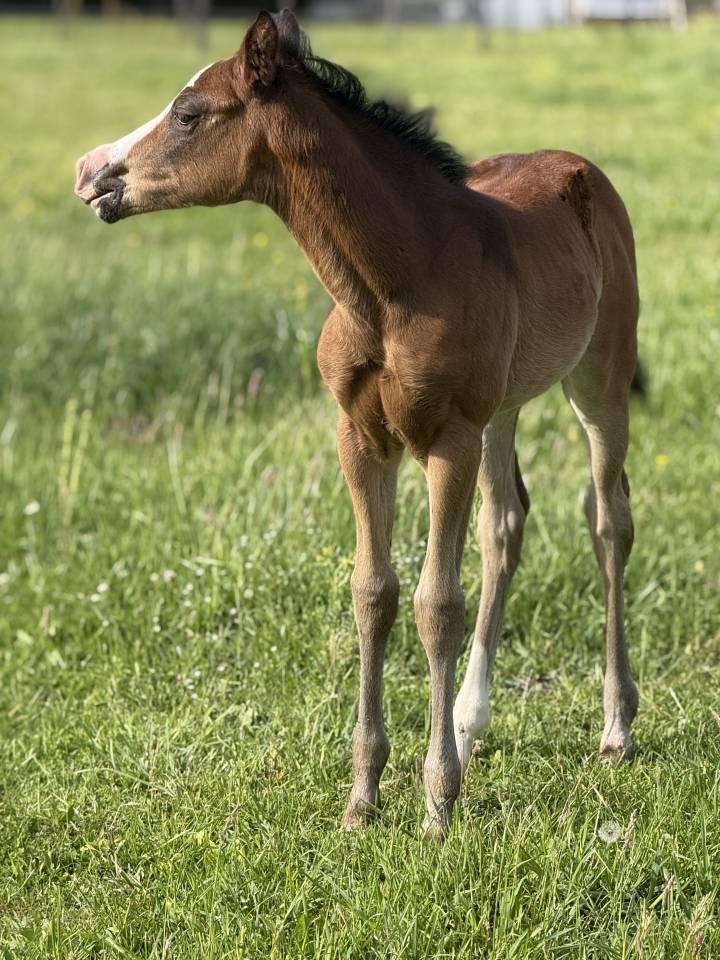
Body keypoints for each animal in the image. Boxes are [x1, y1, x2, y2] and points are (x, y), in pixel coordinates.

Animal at [74, 9, 640, 838]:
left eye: (188, 114)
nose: (91, 173)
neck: (393, 283)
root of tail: (580, 168)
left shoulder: (447, 440)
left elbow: (437, 604)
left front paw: (437, 805)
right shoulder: (362, 439)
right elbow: (373, 593)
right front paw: (363, 798)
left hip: (597, 379)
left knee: (608, 521)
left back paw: (616, 726)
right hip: (503, 407)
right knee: (505, 524)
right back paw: (469, 724)